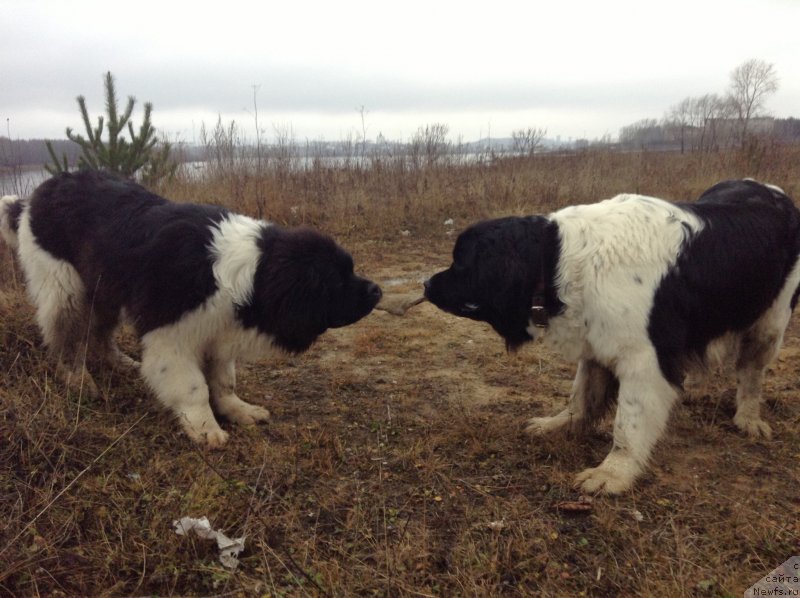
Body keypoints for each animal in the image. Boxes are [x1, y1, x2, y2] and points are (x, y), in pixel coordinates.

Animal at [0, 171, 382, 448]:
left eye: (350, 269)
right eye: (338, 280)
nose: (377, 291)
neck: (251, 274)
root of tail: (34, 196)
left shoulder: (219, 330)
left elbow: (224, 381)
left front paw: (236, 409)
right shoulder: (173, 338)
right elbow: (194, 387)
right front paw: (204, 426)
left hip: (104, 287)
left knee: (99, 333)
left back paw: (119, 363)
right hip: (66, 290)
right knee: (67, 337)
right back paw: (79, 382)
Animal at [424, 180, 800, 494]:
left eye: (461, 263)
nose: (426, 283)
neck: (558, 261)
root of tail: (774, 192)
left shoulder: (643, 360)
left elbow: (627, 425)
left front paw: (613, 473)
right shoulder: (596, 340)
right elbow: (580, 397)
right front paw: (558, 425)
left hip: (770, 325)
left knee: (751, 373)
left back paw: (748, 419)